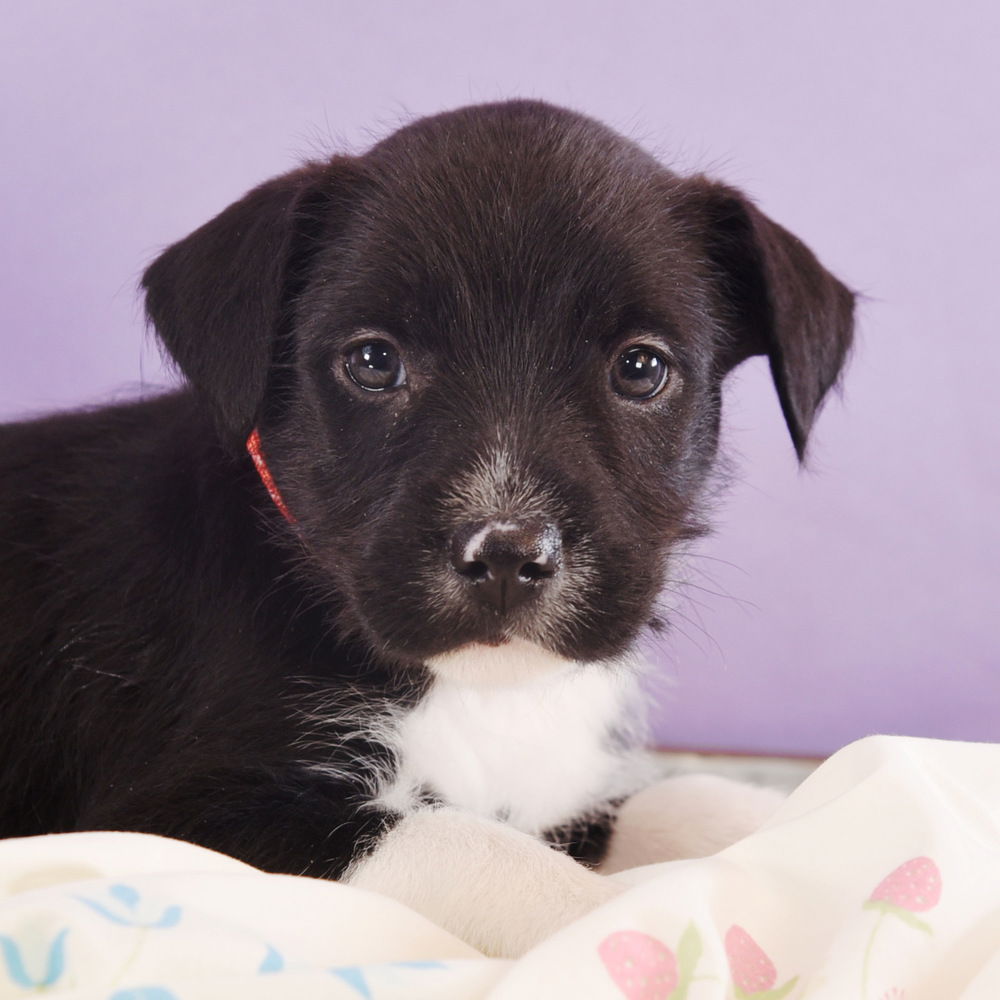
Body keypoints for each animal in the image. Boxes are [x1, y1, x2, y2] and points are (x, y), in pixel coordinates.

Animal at [0, 99, 852, 952]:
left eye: (641, 369)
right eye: (374, 362)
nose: (507, 555)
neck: (470, 689)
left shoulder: (551, 795)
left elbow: (679, 798)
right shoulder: (171, 815)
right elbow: (475, 847)